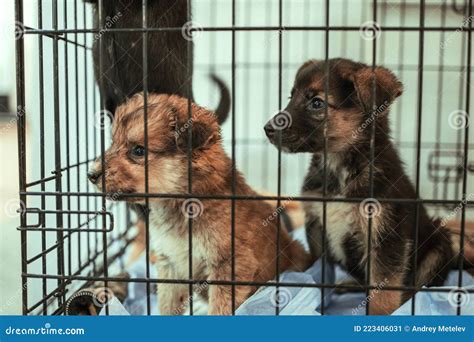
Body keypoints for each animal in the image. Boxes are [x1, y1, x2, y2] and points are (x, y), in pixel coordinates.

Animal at [89, 93, 312, 316]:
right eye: (113, 143)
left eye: (138, 150)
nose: (90, 174)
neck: (180, 203)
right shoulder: (170, 263)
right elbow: (168, 304)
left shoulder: (229, 266)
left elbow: (219, 308)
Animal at [264, 58, 458, 316]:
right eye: (291, 96)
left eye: (316, 103)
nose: (267, 129)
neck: (339, 168)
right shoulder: (316, 225)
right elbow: (319, 270)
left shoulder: (386, 236)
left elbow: (383, 291)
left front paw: (380, 315)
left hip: (440, 242)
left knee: (420, 285)